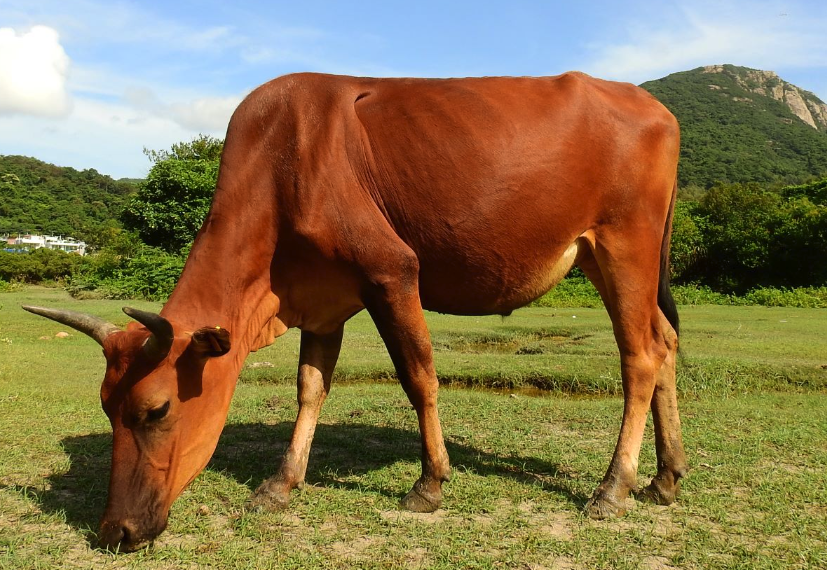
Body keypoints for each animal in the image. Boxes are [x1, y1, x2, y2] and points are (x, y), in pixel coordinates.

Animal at [25, 71, 684, 552]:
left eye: (156, 409)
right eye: (106, 408)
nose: (116, 531)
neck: (280, 163)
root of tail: (652, 104)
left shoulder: (392, 271)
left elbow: (419, 378)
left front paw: (429, 483)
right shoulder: (322, 303)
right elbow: (310, 388)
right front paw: (281, 482)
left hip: (625, 245)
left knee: (639, 356)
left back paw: (613, 487)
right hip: (611, 258)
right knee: (666, 343)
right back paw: (665, 476)